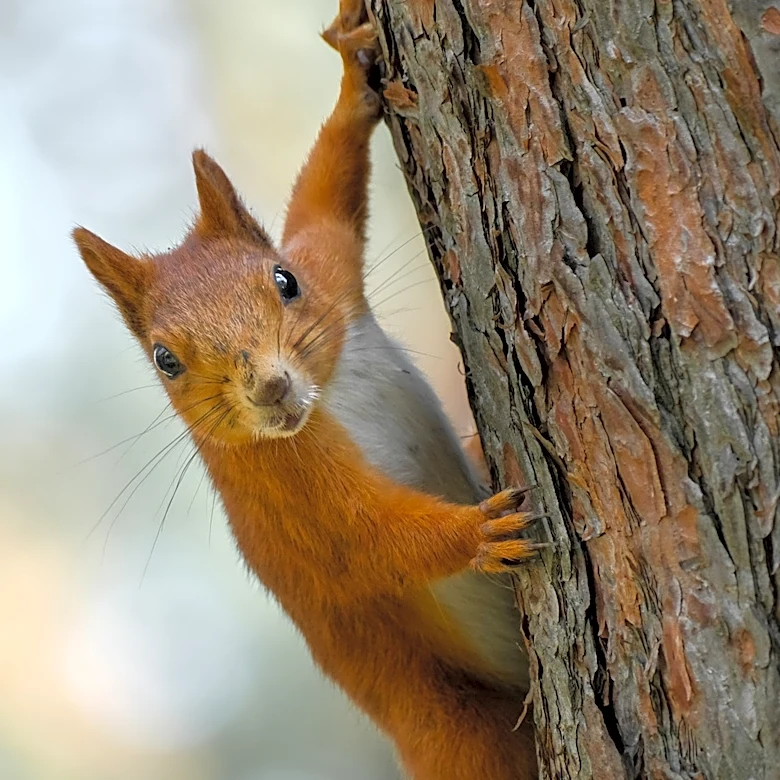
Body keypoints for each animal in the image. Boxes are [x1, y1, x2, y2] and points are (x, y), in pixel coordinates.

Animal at [73, 2, 545, 778]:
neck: (330, 394)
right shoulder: (293, 498)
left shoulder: (331, 272)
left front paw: (352, 77)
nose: (269, 386)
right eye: (165, 359)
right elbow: (368, 542)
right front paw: (478, 534)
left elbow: (326, 195)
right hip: (462, 732)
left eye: (284, 279)